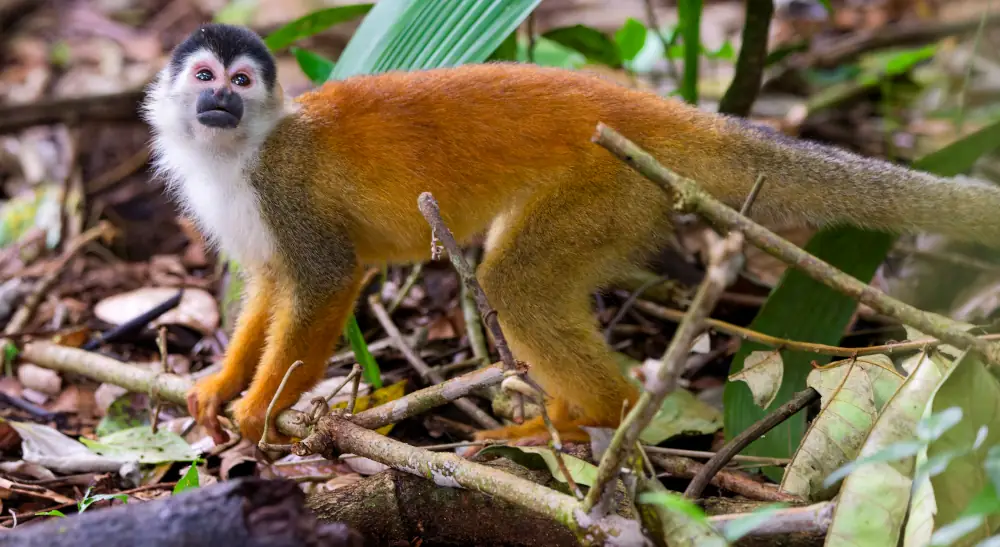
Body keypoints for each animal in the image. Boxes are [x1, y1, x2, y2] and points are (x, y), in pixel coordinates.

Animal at [142, 23, 1000, 445]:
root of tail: (650, 109)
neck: (241, 148)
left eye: (241, 82)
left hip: (609, 185)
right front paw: (222, 383)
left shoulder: (283, 183)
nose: (219, 102)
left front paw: (262, 407)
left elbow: (325, 277)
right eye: (205, 79)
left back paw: (600, 412)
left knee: (511, 282)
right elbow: (271, 283)